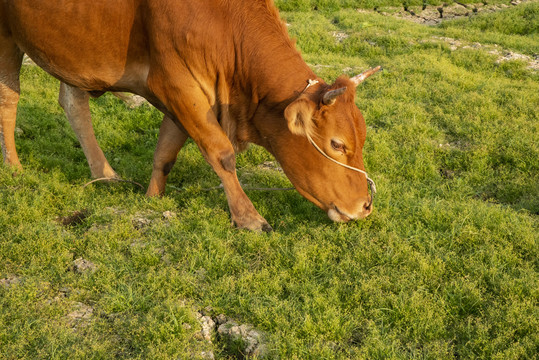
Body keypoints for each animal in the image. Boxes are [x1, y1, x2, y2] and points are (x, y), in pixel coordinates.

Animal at [0, 0, 380, 231]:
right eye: (336, 144)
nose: (365, 205)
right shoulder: (177, 83)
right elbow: (221, 153)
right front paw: (248, 217)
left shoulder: (184, 94)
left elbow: (166, 152)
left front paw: (152, 198)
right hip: (6, 36)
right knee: (9, 97)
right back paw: (15, 167)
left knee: (73, 101)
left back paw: (105, 175)